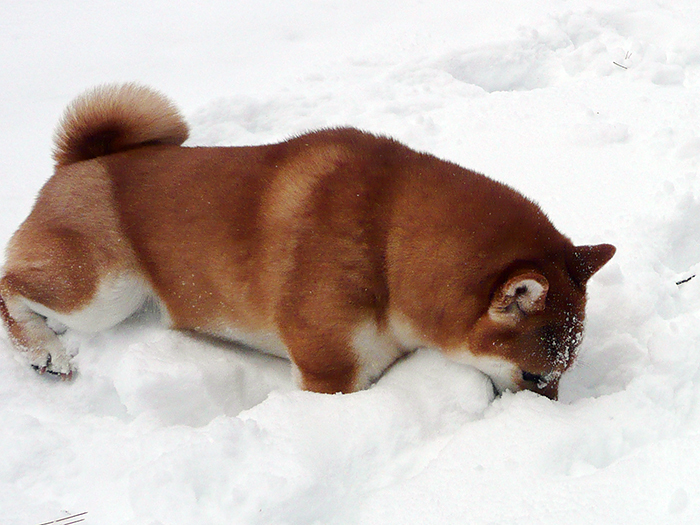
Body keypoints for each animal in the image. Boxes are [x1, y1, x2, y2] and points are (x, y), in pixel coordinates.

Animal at [0, 84, 612, 398]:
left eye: (560, 377)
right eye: (536, 376)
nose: (549, 411)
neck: (385, 241)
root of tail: (80, 163)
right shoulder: (331, 374)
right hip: (103, 293)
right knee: (10, 285)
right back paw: (45, 350)